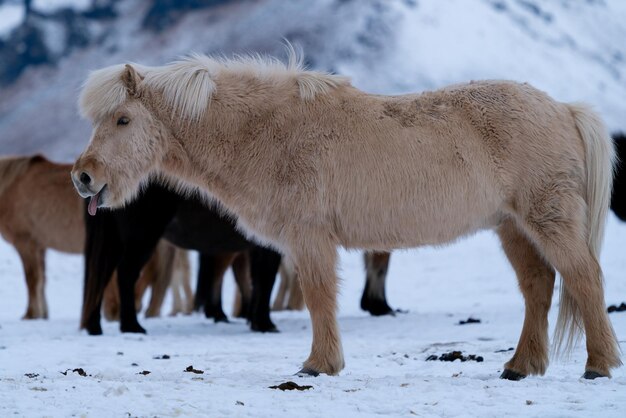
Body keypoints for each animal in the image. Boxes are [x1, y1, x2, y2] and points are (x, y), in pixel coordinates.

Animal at [0, 155, 180, 318]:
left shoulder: (25, 243)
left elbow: (32, 279)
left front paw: (31, 314)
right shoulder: (40, 246)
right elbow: (42, 280)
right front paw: (42, 314)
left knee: (149, 273)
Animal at [81, 183, 280, 336]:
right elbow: (265, 279)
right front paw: (264, 323)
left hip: (115, 240)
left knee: (100, 277)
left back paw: (95, 326)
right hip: (142, 237)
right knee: (126, 274)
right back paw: (132, 326)